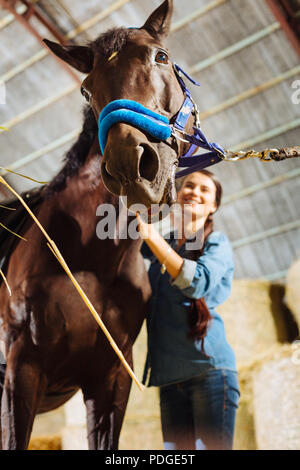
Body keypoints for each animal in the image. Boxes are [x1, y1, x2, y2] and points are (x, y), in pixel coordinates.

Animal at [0, 0, 191, 448]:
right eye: (87, 90)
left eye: (162, 57)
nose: (129, 165)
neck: (91, 255)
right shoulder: (21, 371)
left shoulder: (111, 381)